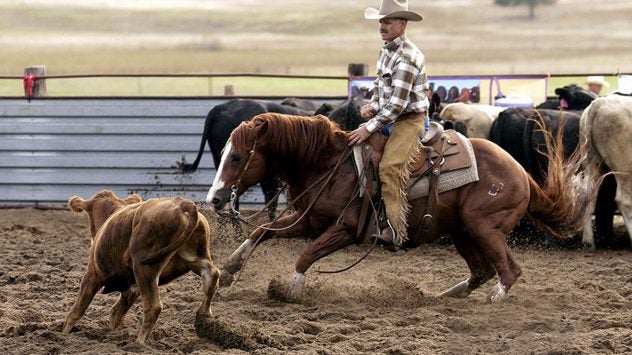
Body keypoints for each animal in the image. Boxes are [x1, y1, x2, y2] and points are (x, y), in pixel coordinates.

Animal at [61, 192, 220, 344]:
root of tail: (183, 204)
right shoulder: (131, 288)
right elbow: (116, 313)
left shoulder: (92, 275)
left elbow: (77, 310)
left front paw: (63, 333)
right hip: (195, 257)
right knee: (212, 275)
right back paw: (204, 314)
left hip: (145, 268)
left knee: (153, 306)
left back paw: (139, 343)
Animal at [207, 113, 592, 304]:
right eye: (224, 153)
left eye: (238, 156)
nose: (213, 199)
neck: (327, 164)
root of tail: (523, 174)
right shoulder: (311, 219)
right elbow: (262, 231)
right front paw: (230, 269)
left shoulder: (345, 230)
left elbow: (305, 256)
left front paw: (293, 291)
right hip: (462, 231)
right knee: (481, 271)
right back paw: (445, 296)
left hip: (484, 227)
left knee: (509, 269)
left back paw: (493, 300)